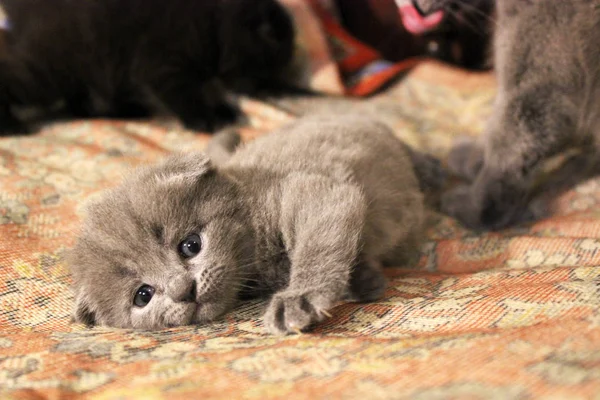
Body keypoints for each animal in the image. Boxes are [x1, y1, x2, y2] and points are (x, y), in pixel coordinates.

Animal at [0, 0, 292, 134]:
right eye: (265, 71)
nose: (264, 91)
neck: (213, 22)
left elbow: (207, 91)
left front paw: (224, 110)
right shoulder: (162, 65)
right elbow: (185, 96)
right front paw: (206, 119)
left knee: (81, 102)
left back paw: (128, 110)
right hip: (54, 66)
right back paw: (9, 125)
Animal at [68, 115, 440, 334]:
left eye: (191, 245)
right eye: (142, 296)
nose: (183, 290)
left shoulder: (319, 192)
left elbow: (319, 244)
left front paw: (299, 298)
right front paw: (364, 279)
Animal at [414, 0, 600, 230]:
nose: (417, 8)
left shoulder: (540, 88)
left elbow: (507, 149)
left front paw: (475, 210)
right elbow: (494, 127)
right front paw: (472, 161)